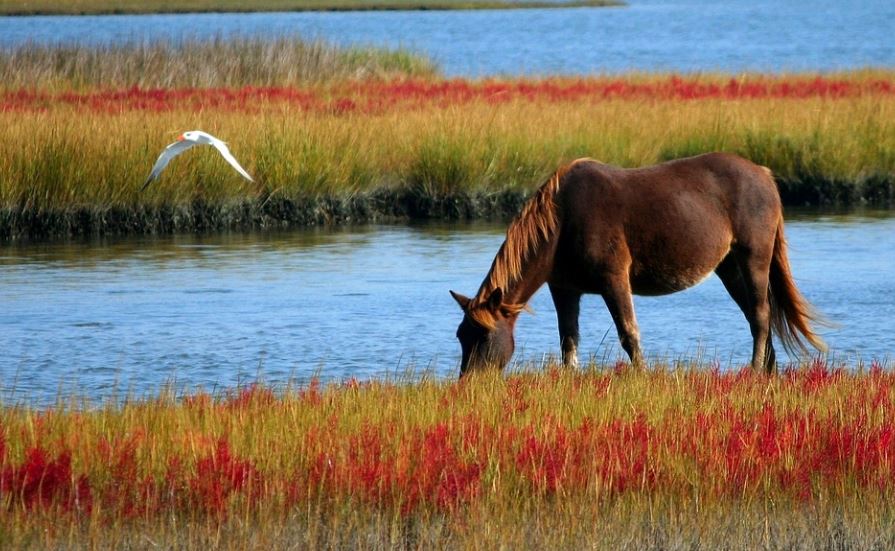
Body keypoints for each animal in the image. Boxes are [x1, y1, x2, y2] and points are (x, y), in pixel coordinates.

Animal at [450, 152, 826, 376]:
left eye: (483, 336)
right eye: (461, 336)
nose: (469, 383)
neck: (562, 221)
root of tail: (764, 174)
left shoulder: (614, 279)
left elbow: (629, 334)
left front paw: (641, 376)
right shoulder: (564, 288)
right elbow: (568, 340)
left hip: (753, 258)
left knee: (761, 315)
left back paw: (755, 370)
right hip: (729, 268)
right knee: (755, 316)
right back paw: (767, 370)